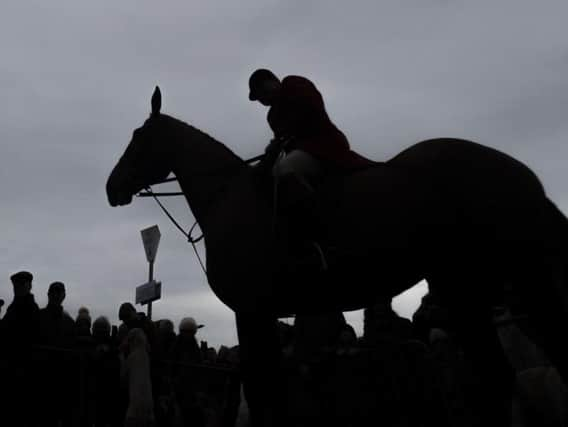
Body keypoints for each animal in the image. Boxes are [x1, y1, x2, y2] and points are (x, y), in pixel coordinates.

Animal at [107, 88, 568, 427]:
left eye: (137, 137)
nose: (112, 188)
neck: (229, 198)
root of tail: (516, 170)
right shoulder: (264, 315)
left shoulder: (250, 311)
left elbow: (263, 389)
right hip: (470, 283)